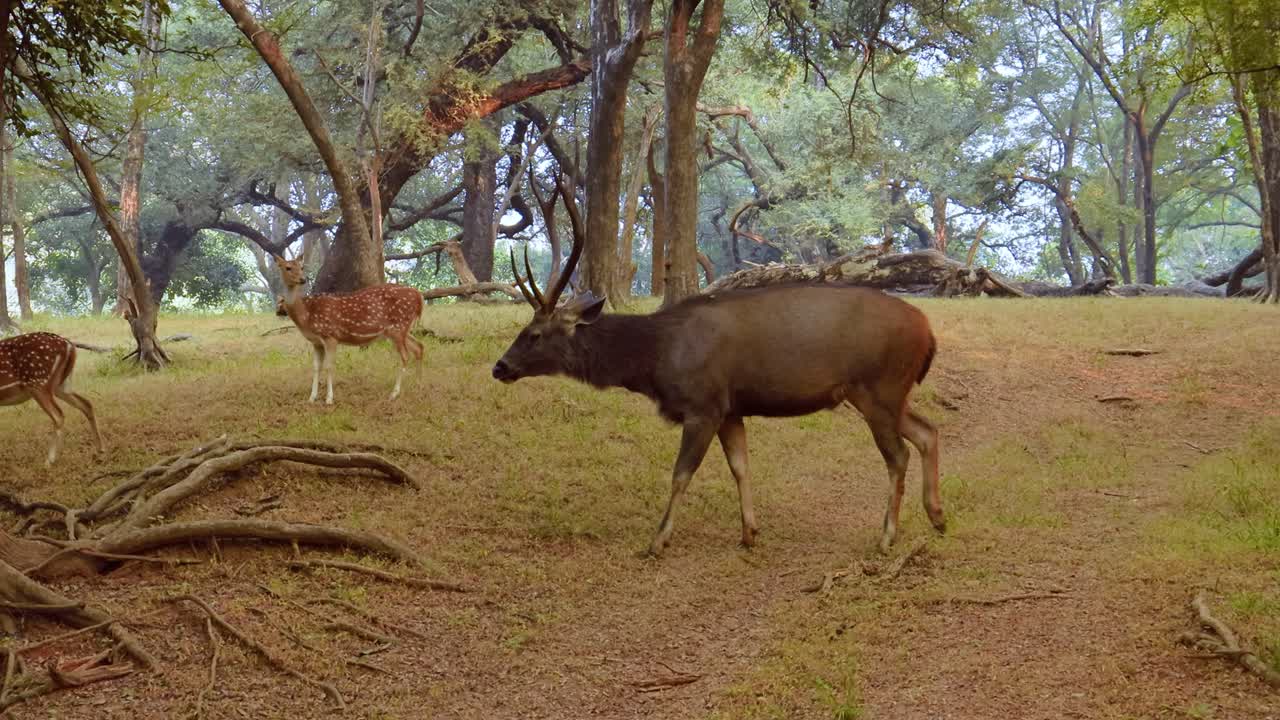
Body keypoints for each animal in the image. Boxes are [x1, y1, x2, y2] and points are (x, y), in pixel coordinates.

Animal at [0, 332, 103, 466]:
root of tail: (69, 346)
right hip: (62, 384)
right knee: (86, 403)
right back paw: (100, 450)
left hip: (38, 383)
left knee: (58, 415)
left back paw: (49, 461)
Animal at [272, 255, 425, 404]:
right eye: (288, 267)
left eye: (302, 267)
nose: (302, 279)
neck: (306, 315)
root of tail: (419, 297)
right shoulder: (316, 342)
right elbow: (316, 367)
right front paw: (311, 398)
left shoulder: (330, 335)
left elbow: (329, 366)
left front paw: (329, 399)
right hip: (400, 330)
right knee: (419, 347)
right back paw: (418, 386)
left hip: (398, 327)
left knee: (405, 355)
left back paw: (394, 394)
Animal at [491, 178, 942, 558]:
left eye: (533, 334)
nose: (499, 367)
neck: (655, 358)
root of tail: (928, 332)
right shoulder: (731, 409)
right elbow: (741, 467)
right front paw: (749, 533)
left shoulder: (703, 405)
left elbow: (680, 474)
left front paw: (658, 540)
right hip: (890, 393)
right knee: (928, 431)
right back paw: (937, 516)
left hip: (878, 387)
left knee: (898, 454)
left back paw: (887, 536)